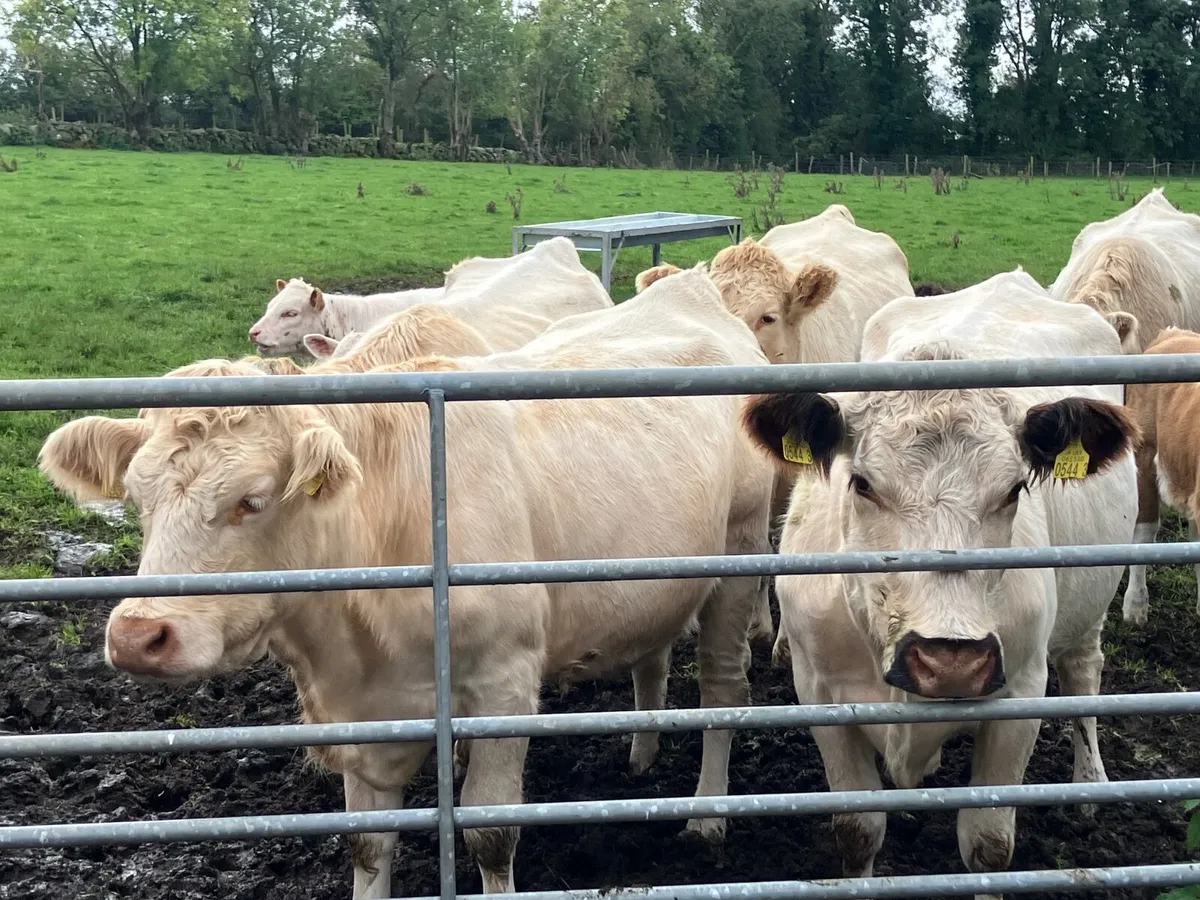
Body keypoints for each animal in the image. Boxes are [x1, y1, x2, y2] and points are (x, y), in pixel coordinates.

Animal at [38, 268, 773, 900]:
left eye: (253, 499)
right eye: (137, 498)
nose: (138, 636)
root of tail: (689, 289)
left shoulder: (505, 684)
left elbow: (490, 835)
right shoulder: (367, 716)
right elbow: (368, 843)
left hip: (739, 554)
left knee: (723, 686)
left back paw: (707, 814)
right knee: (654, 653)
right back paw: (643, 752)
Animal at [741, 270, 1139, 896]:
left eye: (1014, 489)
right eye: (861, 483)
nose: (950, 661)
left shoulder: (1020, 692)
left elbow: (988, 843)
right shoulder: (819, 691)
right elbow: (857, 831)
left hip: (1093, 602)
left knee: (1084, 671)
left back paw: (1090, 782)